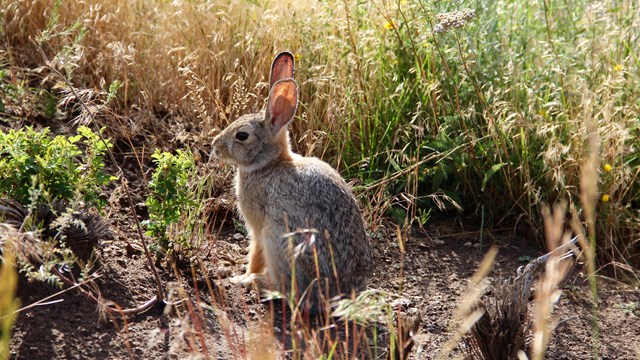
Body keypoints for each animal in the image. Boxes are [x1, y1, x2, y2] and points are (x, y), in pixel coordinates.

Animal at [211, 52, 370, 314]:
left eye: (242, 135)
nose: (215, 146)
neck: (269, 165)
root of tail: (334, 296)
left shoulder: (259, 229)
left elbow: (255, 254)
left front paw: (242, 276)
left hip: (280, 240)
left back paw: (258, 283)